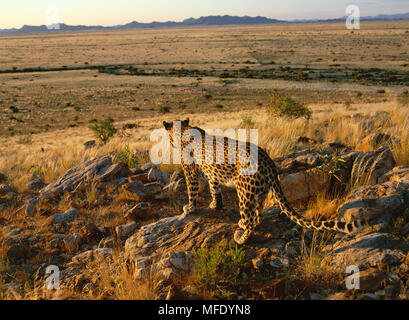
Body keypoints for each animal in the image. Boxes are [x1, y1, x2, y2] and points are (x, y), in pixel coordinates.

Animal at [161, 118, 362, 245]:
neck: (183, 131)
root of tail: (269, 161)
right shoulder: (212, 174)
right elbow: (214, 188)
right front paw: (214, 205)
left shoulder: (190, 172)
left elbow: (192, 190)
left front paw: (190, 208)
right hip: (261, 190)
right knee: (257, 215)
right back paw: (247, 223)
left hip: (244, 190)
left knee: (250, 221)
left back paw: (241, 236)